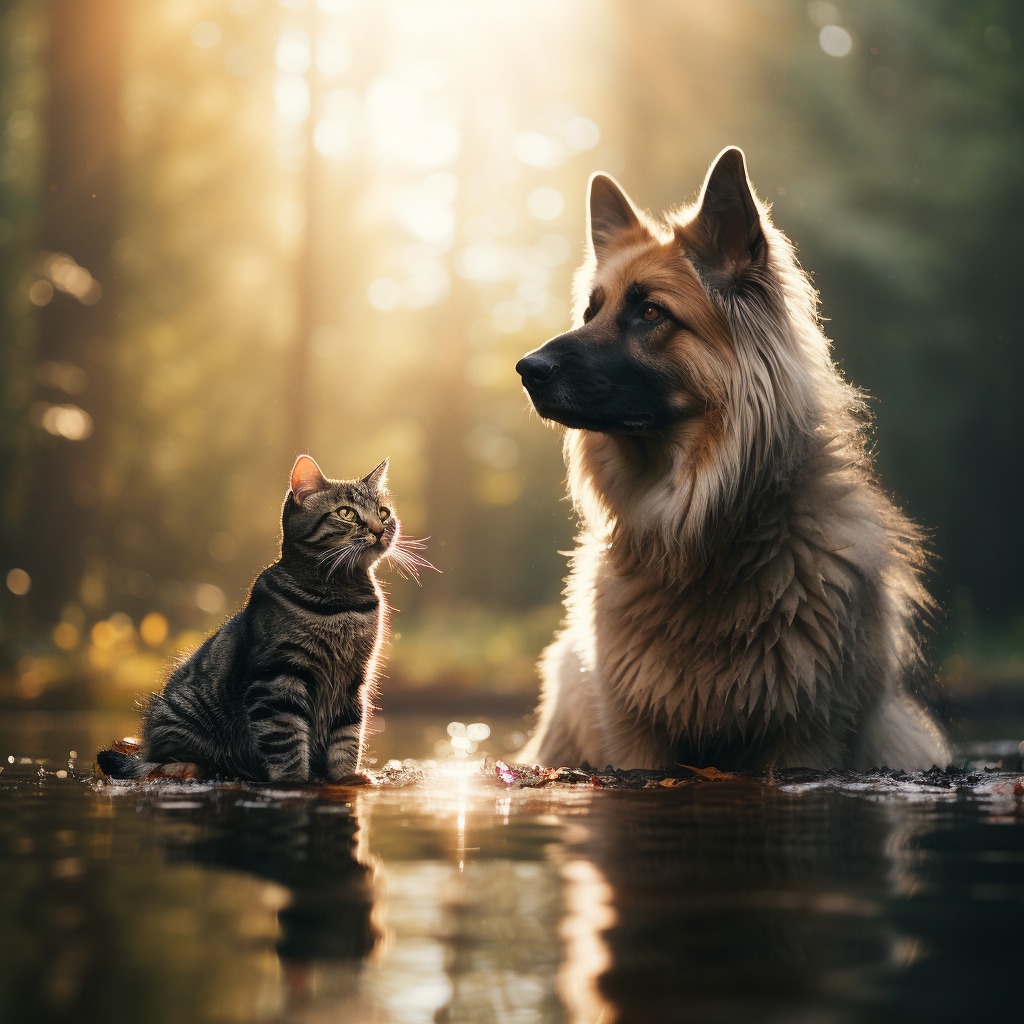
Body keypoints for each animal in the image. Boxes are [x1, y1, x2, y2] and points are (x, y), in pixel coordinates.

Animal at [99, 452, 428, 778]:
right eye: (346, 513)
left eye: (383, 512)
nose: (379, 529)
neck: (341, 597)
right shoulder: (278, 677)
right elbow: (287, 741)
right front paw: (296, 781)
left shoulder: (354, 679)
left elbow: (347, 736)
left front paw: (346, 778)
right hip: (179, 714)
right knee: (160, 760)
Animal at [520, 146, 950, 770]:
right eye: (589, 313)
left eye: (651, 313)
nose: (526, 370)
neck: (703, 533)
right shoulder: (636, 739)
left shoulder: (804, 739)